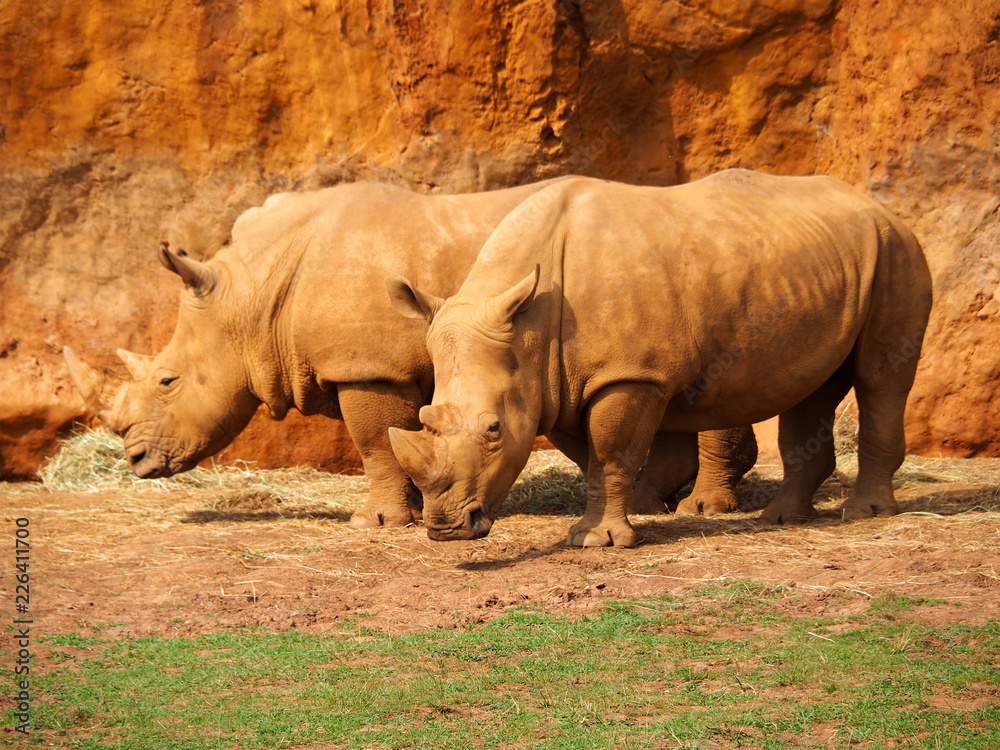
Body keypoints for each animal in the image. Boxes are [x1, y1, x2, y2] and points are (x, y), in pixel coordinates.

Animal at [63, 180, 756, 529]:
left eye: (168, 382)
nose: (135, 460)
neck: (252, 297)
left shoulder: (369, 367)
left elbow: (374, 441)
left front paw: (375, 523)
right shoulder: (422, 364)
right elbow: (414, 436)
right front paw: (427, 505)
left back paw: (698, 507)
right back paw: (653, 500)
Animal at [386, 169, 933, 547]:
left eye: (494, 430)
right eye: (424, 420)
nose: (446, 528)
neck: (528, 329)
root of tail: (879, 207)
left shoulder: (627, 375)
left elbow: (609, 452)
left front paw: (596, 541)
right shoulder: (557, 383)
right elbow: (593, 454)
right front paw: (624, 518)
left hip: (897, 250)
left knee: (880, 377)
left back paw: (866, 514)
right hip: (831, 263)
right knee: (812, 387)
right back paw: (781, 519)